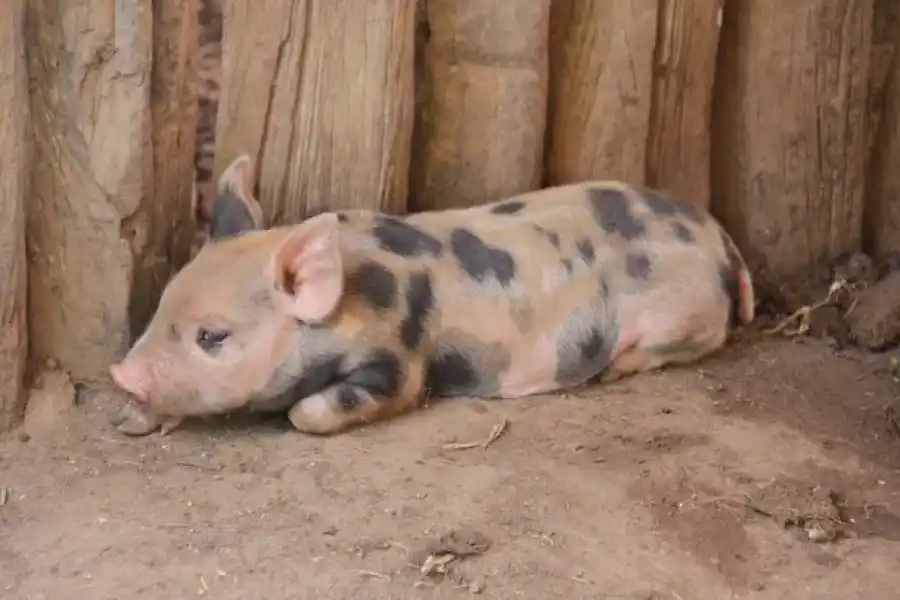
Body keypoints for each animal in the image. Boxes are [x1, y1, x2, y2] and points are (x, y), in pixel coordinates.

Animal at [109, 154, 755, 436]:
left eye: (213, 336)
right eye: (161, 306)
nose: (121, 373)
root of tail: (721, 239)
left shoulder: (399, 356)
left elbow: (315, 412)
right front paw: (131, 420)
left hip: (684, 315)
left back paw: (617, 370)